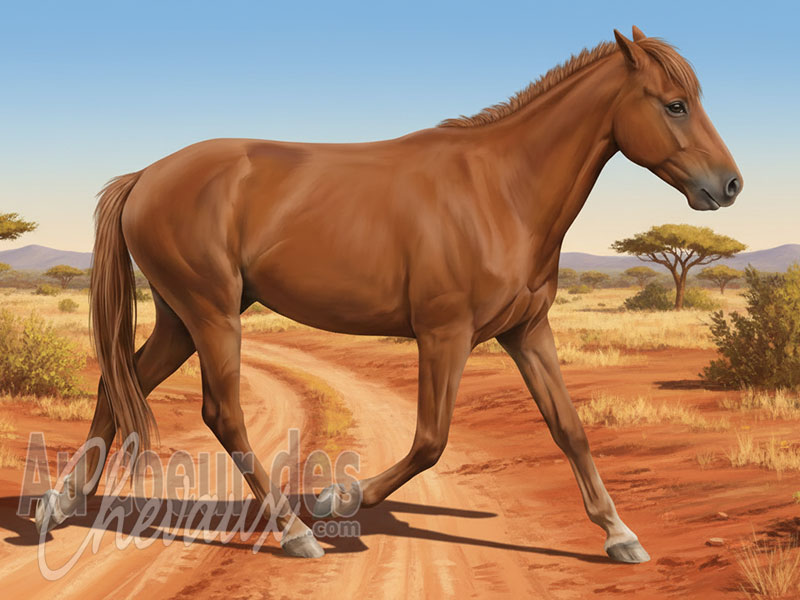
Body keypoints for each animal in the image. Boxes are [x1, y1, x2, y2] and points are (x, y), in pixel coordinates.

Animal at [36, 26, 742, 561]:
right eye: (674, 104)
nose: (729, 185)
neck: (501, 190)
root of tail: (146, 176)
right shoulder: (445, 334)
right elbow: (431, 439)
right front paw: (336, 500)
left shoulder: (527, 332)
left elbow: (569, 429)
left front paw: (620, 534)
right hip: (210, 315)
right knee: (222, 412)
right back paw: (294, 532)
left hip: (183, 318)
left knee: (120, 384)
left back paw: (61, 504)